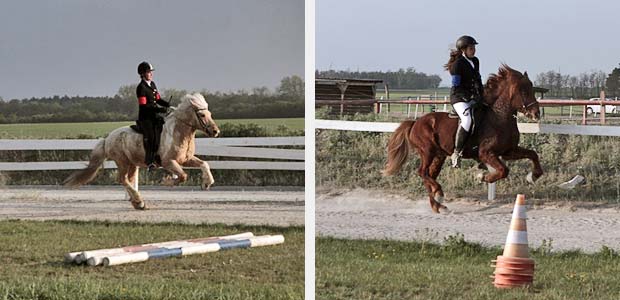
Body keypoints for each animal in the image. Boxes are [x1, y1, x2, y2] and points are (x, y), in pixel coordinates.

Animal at [65, 92, 220, 210]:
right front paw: (167, 182)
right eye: (202, 115)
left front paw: (207, 183)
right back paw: (139, 202)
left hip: (132, 163)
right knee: (122, 179)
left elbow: (204, 164)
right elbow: (183, 176)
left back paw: (137, 202)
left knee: (129, 180)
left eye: (210, 113)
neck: (178, 132)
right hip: (122, 161)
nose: (216, 131)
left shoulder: (185, 159)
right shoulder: (169, 162)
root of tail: (108, 137)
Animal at [382, 65, 544, 213]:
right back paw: (439, 194)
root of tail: (415, 123)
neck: (499, 117)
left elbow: (533, 154)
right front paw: (481, 177)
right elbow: (504, 170)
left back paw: (438, 205)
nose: (536, 113)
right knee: (422, 172)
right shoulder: (486, 153)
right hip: (427, 151)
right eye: (523, 91)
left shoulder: (508, 151)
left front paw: (533, 176)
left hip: (438, 155)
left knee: (429, 175)